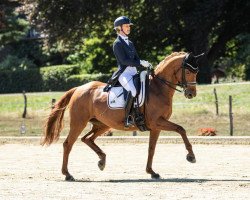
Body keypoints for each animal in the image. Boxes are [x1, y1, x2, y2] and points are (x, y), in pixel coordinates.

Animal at [41, 50, 201, 180]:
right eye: (188, 72)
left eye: (196, 72)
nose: (191, 94)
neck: (158, 88)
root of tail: (78, 89)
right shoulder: (157, 122)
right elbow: (181, 129)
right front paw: (191, 156)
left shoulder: (156, 127)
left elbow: (151, 149)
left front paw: (151, 172)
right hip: (78, 123)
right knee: (68, 144)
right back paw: (67, 174)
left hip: (103, 125)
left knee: (87, 139)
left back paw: (102, 161)